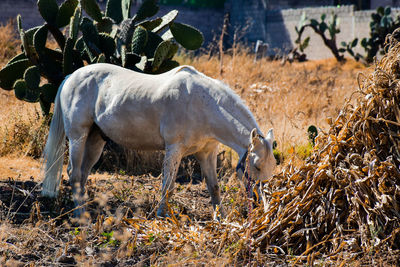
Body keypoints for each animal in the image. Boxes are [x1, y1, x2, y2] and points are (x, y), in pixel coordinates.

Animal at [42, 63, 276, 219]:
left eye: (272, 167)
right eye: (256, 165)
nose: (260, 203)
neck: (203, 104)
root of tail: (72, 76)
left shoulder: (207, 153)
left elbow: (214, 187)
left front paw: (221, 218)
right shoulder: (174, 150)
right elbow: (168, 186)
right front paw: (162, 216)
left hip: (96, 140)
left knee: (82, 174)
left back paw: (85, 208)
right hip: (78, 137)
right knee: (74, 173)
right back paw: (81, 215)